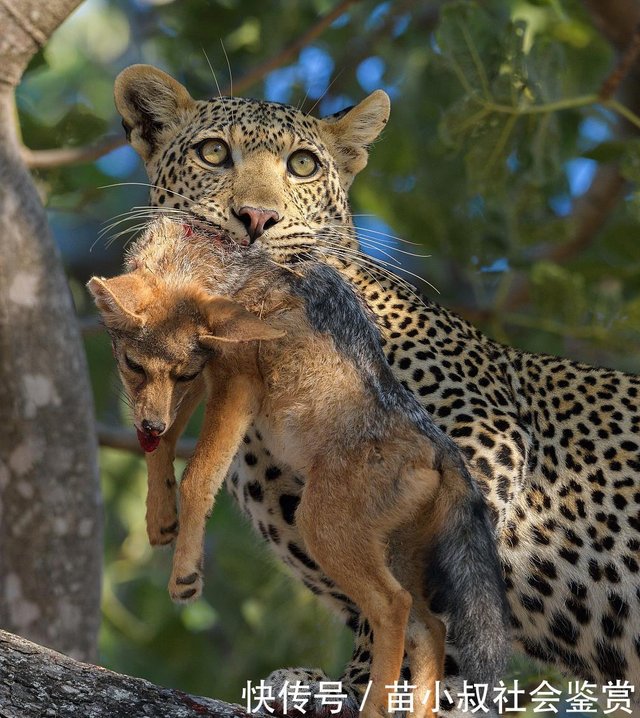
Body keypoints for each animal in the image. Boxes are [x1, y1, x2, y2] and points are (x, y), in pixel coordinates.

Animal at [112, 64, 636, 716]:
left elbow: (423, 602)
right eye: (213, 153)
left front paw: (365, 690)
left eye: (302, 165)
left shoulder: (481, 437)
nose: (256, 218)